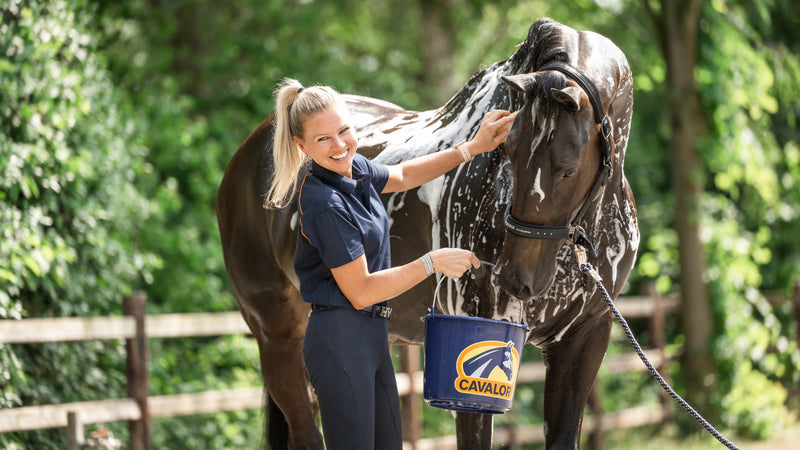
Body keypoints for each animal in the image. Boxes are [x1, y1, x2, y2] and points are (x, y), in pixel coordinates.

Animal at [216, 17, 638, 449]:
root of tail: (249, 152)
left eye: (568, 168)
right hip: (277, 338)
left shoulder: (583, 341)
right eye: (509, 152)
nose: (516, 279)